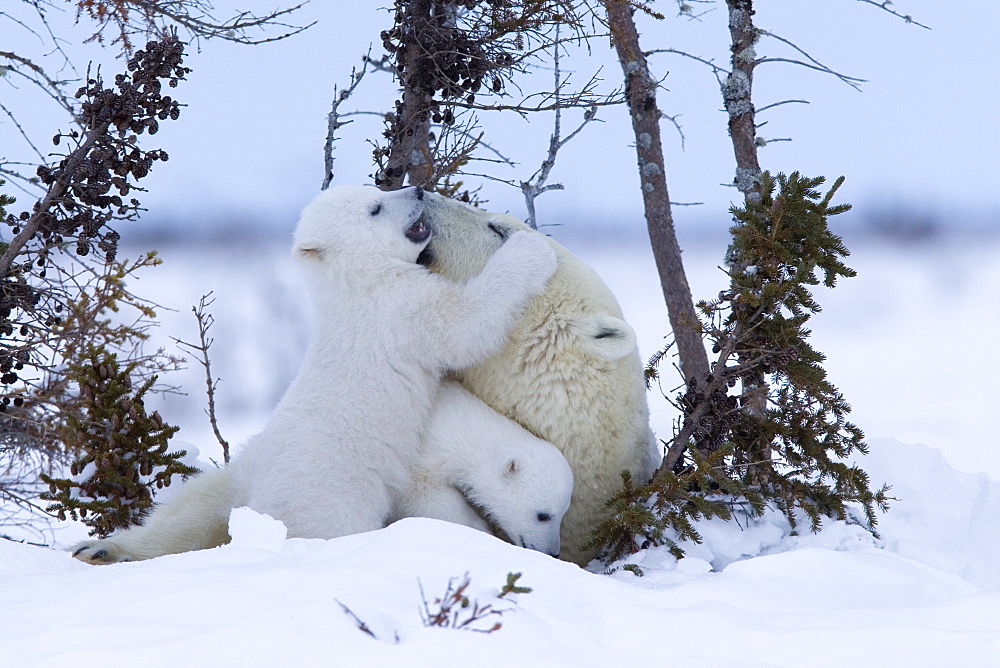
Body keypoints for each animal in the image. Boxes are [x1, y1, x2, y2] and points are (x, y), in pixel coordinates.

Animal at [394, 378, 576, 556]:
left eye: (564, 512)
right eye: (543, 516)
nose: (553, 553)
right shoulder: (422, 458)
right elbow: (421, 495)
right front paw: (479, 528)